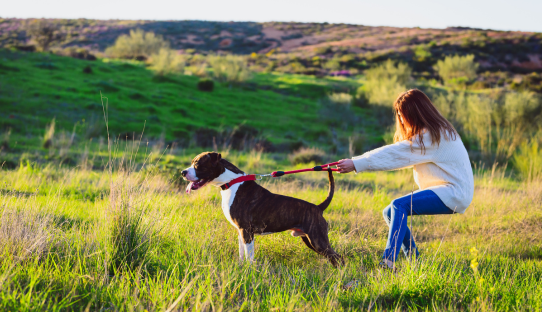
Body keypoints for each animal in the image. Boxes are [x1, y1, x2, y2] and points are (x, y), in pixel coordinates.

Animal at [182, 152, 344, 266]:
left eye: (198, 164)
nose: (183, 172)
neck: (232, 182)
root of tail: (318, 207)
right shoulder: (241, 232)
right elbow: (242, 255)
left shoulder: (246, 231)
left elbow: (249, 256)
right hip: (310, 240)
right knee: (334, 259)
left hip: (318, 240)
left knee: (339, 258)